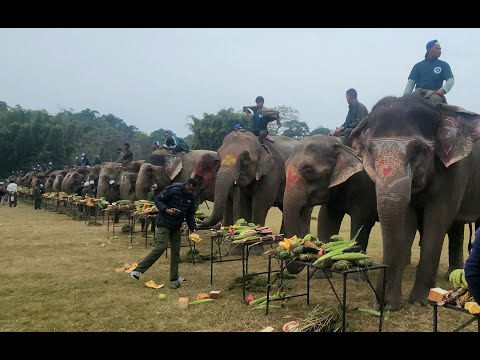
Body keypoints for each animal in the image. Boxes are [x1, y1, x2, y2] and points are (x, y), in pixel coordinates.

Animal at [346, 94, 480, 310]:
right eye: (370, 151)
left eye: (418, 150)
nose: (381, 304)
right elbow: (407, 222)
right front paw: (392, 305)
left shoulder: (457, 169)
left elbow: (437, 219)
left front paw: (419, 301)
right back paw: (450, 275)